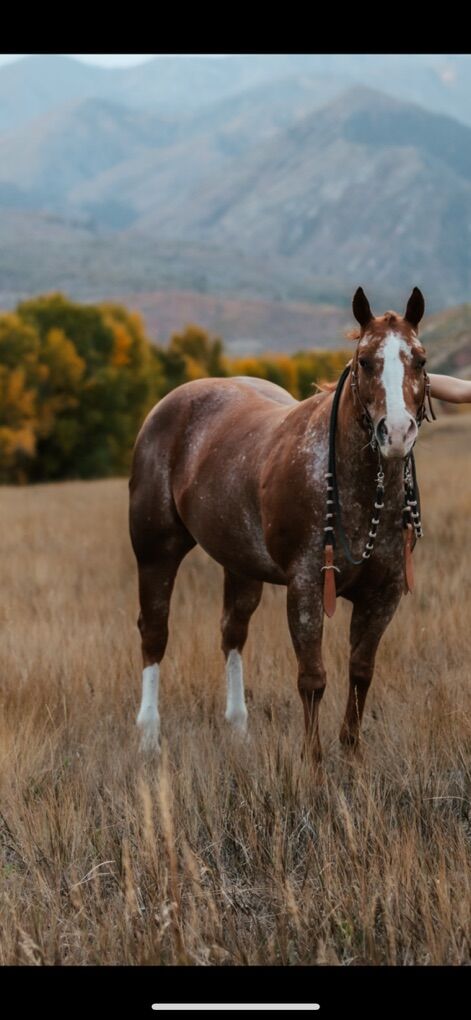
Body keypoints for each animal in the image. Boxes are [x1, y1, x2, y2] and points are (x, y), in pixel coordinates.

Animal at [129, 287, 433, 762]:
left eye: (419, 359)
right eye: (365, 361)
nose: (397, 432)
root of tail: (168, 405)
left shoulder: (383, 594)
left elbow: (361, 673)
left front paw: (352, 756)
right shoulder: (306, 586)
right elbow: (312, 678)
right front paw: (313, 762)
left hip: (240, 563)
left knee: (232, 631)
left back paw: (238, 729)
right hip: (155, 551)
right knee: (154, 633)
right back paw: (148, 738)